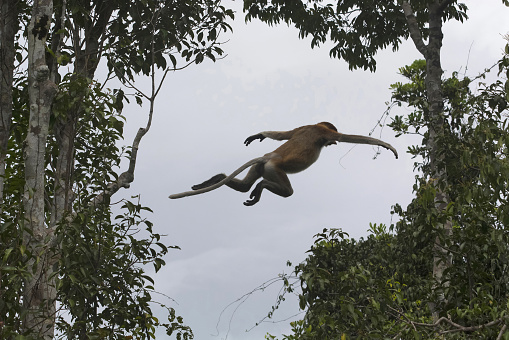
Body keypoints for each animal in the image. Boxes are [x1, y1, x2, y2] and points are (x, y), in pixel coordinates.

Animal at [169, 123, 398, 207]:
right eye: (329, 140)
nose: (331, 145)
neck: (317, 126)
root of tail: (267, 157)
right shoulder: (324, 132)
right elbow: (347, 137)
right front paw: (387, 146)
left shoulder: (304, 126)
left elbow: (284, 134)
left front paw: (258, 136)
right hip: (273, 169)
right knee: (286, 191)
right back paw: (259, 189)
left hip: (260, 167)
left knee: (243, 185)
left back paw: (216, 180)